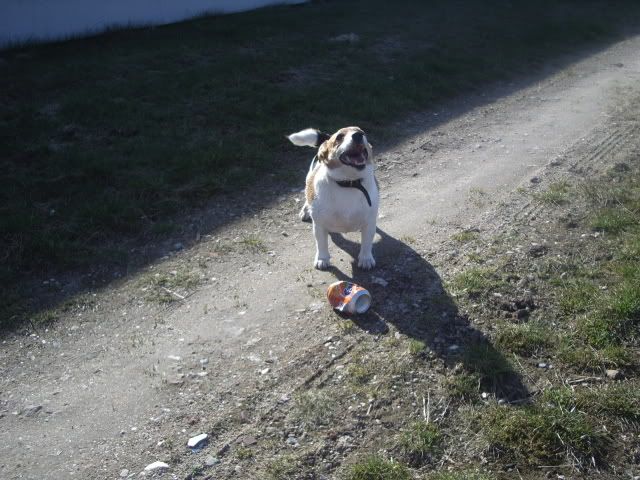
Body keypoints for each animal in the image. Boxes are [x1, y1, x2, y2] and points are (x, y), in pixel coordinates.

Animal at [288, 126, 378, 270]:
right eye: (339, 137)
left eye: (362, 132)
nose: (358, 135)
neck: (349, 183)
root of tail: (326, 138)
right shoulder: (319, 225)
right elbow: (321, 244)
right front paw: (322, 259)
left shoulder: (369, 223)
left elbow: (367, 243)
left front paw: (366, 258)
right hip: (308, 179)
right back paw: (305, 210)